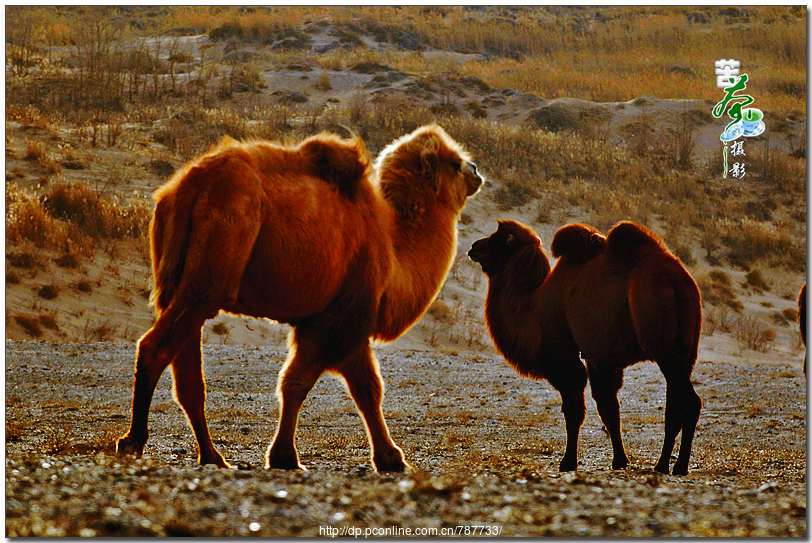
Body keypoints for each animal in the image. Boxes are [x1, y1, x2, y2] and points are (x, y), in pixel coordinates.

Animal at [115, 125, 482, 474]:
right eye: (454, 163)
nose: (476, 170)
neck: (393, 251)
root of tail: (189, 185)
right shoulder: (340, 317)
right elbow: (306, 383)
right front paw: (286, 456)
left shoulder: (337, 321)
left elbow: (363, 390)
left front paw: (389, 459)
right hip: (214, 265)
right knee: (156, 347)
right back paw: (133, 441)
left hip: (177, 280)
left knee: (188, 378)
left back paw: (213, 457)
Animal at [470, 221, 704, 476]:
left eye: (496, 241)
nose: (473, 247)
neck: (534, 308)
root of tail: (678, 282)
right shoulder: (602, 360)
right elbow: (609, 409)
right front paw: (620, 461)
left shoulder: (563, 356)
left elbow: (574, 411)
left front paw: (568, 462)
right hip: (684, 351)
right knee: (674, 407)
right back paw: (661, 465)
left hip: (664, 349)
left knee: (690, 403)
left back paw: (680, 466)